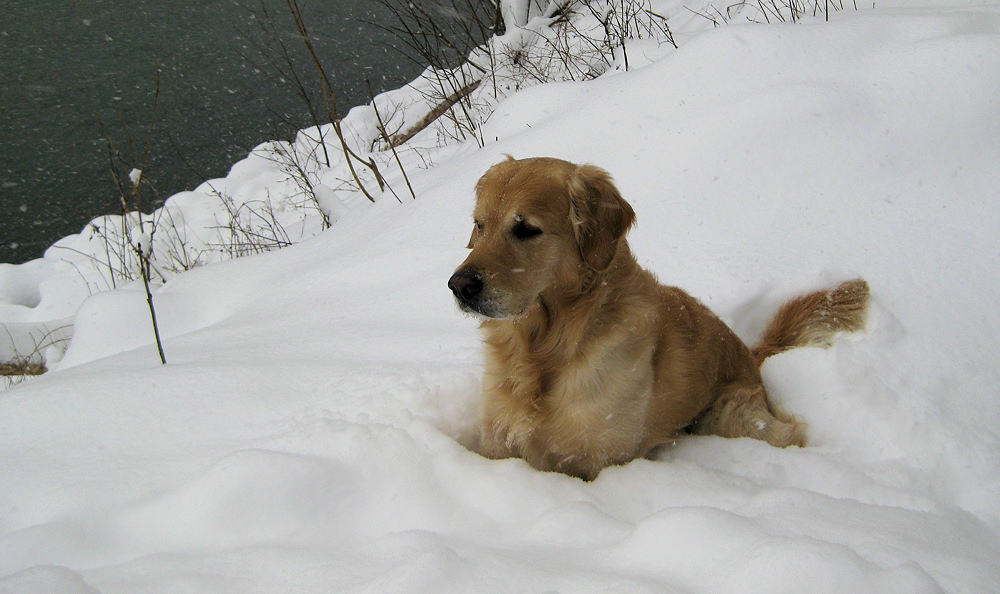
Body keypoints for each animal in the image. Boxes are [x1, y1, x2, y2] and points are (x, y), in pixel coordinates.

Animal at [448, 155, 868, 478]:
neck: (545, 346)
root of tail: (750, 352)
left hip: (731, 415)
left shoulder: (597, 460)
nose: (459, 285)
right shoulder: (497, 442)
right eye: (479, 225)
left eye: (526, 229)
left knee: (790, 433)